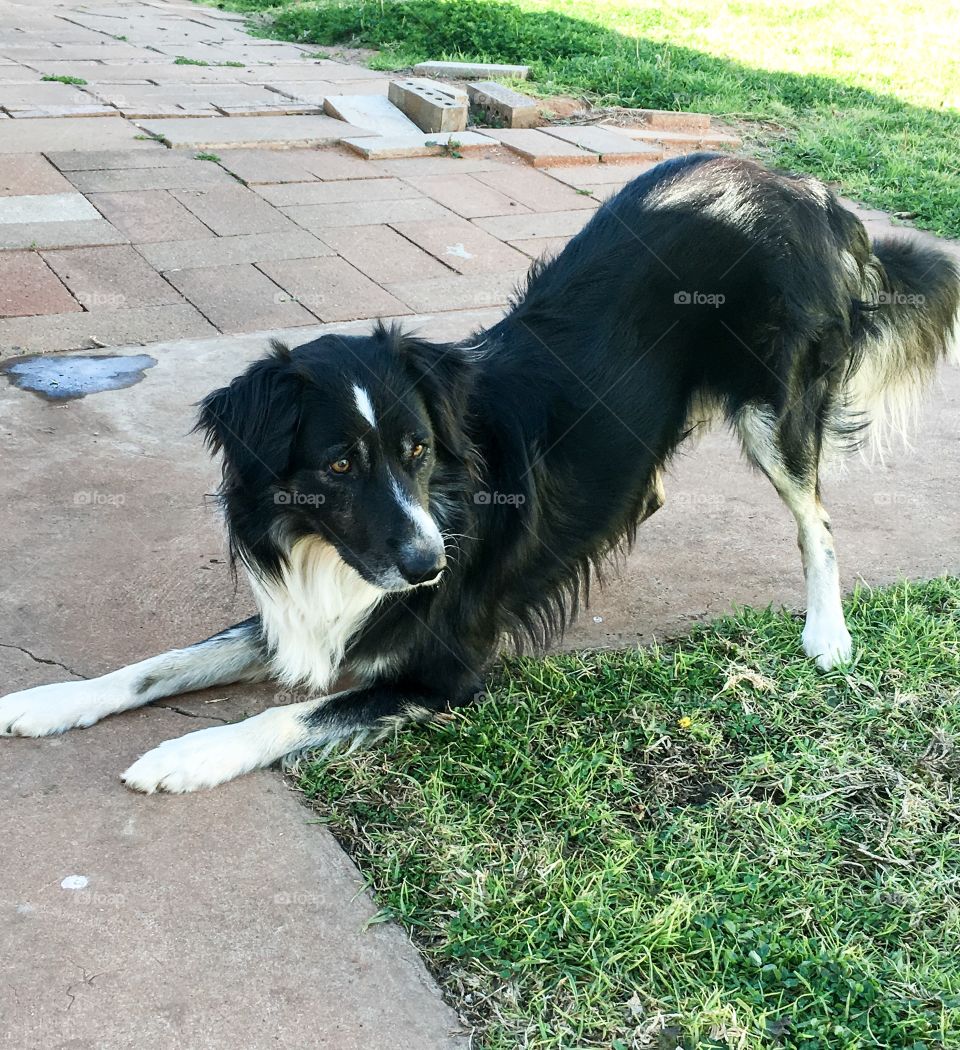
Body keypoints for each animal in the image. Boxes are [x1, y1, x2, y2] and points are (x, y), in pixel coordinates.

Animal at [1, 155, 957, 789]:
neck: (327, 550)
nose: (430, 566)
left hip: (773, 407)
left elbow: (286, 713)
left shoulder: (442, 671)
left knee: (816, 518)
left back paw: (828, 632)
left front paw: (186, 753)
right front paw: (50, 701)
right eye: (339, 464)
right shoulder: (302, 611)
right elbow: (161, 663)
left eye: (419, 450)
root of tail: (810, 193)